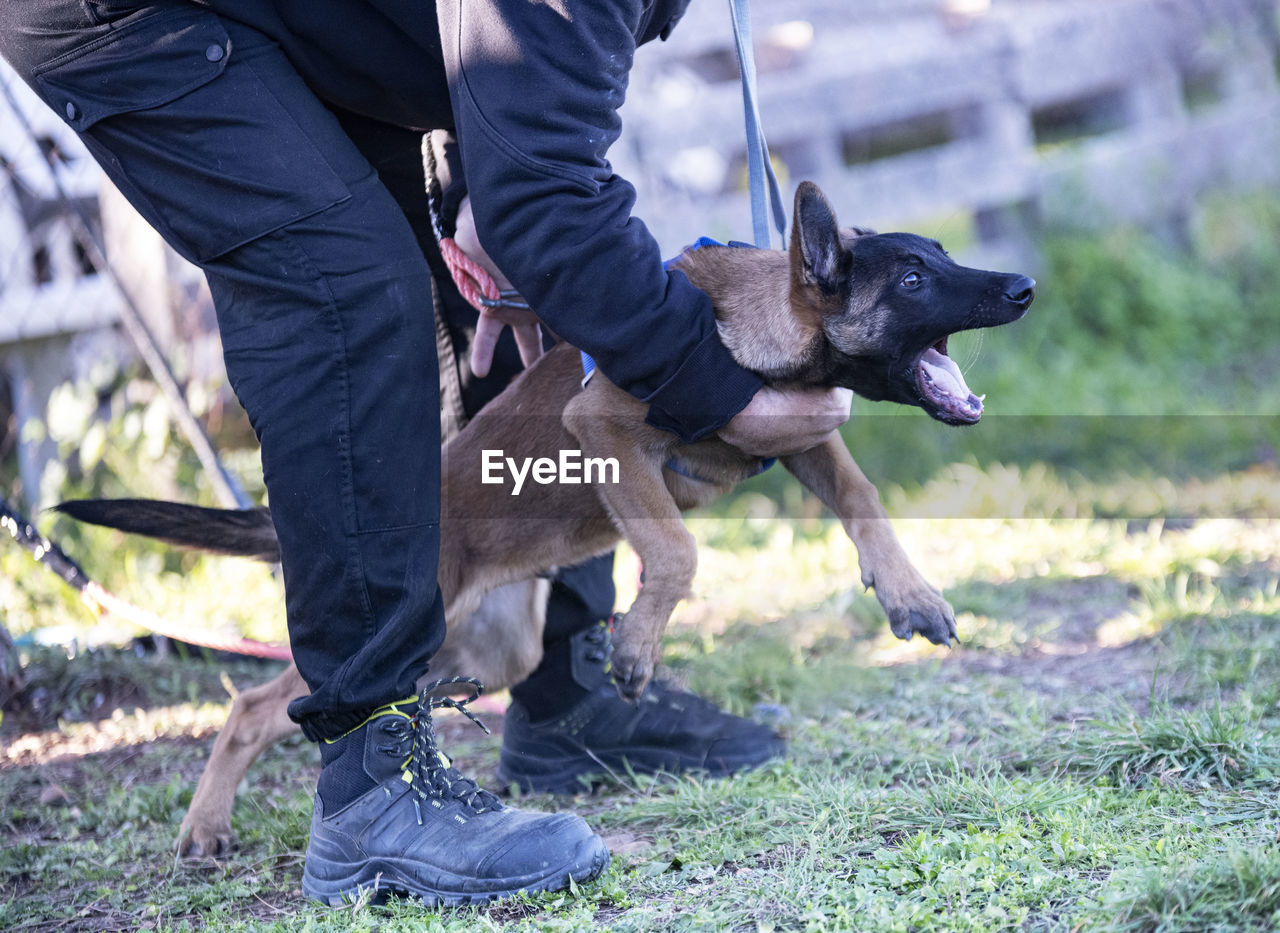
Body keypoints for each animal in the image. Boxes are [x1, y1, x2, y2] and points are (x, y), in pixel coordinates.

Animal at [64, 177, 1034, 854]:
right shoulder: (603, 426)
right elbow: (676, 550)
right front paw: (636, 646)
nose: (1023, 285)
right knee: (256, 704)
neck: (746, 320)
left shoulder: (803, 435)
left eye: (936, 256)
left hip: (488, 645)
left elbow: (864, 501)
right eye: (914, 276)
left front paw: (909, 594)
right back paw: (206, 824)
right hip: (418, 623)